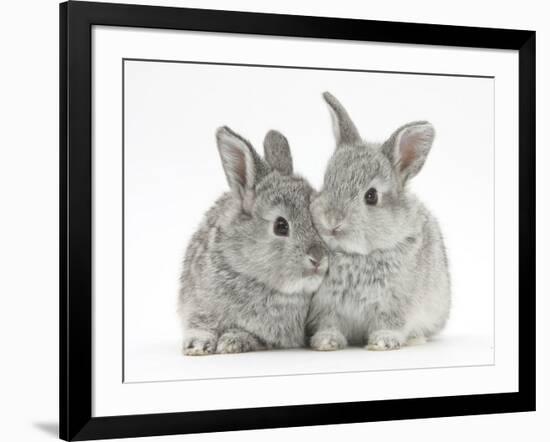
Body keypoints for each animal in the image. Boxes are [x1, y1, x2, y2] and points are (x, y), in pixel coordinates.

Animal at [308, 91, 450, 350]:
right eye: (326, 183)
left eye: (371, 196)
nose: (332, 220)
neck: (357, 254)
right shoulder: (326, 307)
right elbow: (329, 323)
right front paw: (326, 341)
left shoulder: (395, 304)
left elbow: (391, 322)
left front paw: (384, 341)